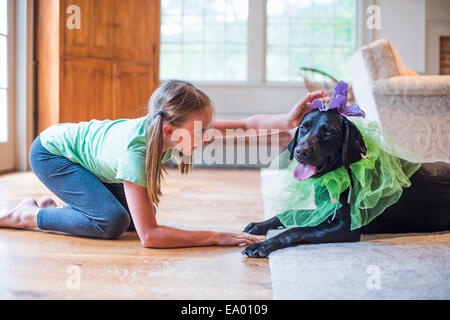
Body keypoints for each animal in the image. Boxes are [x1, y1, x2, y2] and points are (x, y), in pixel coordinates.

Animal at [243, 109, 450, 258]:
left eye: (327, 132)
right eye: (303, 128)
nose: (300, 151)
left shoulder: (344, 228)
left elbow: (295, 230)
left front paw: (262, 245)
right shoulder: (323, 211)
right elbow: (288, 213)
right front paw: (260, 225)